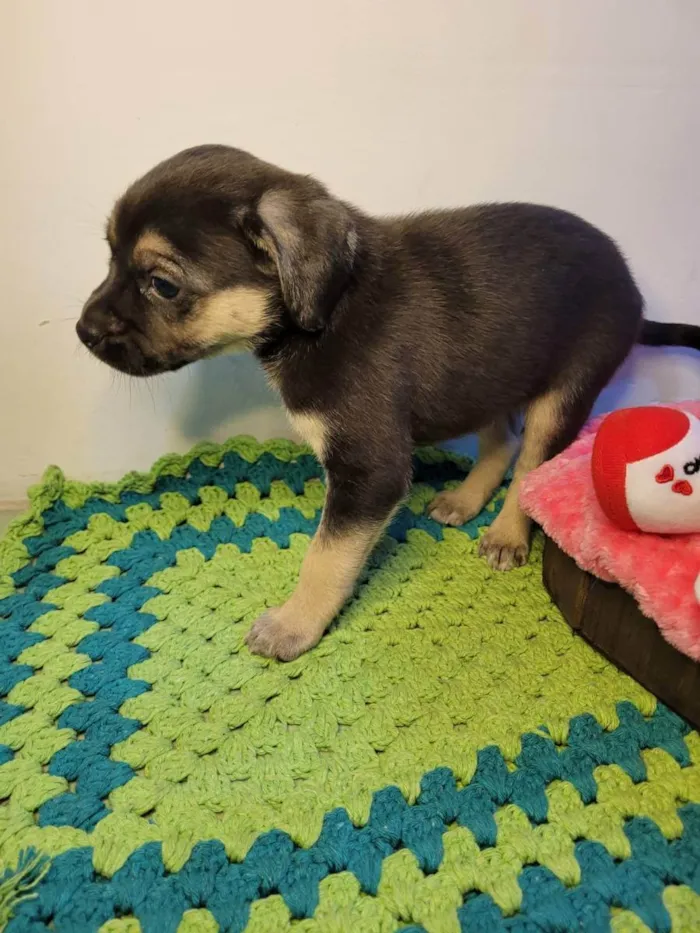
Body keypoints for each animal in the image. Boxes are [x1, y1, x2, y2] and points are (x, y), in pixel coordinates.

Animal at [76, 144, 700, 664]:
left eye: (163, 286)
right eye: (109, 257)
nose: (82, 332)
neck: (324, 313)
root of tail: (632, 285)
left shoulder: (370, 470)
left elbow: (325, 557)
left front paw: (293, 626)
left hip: (565, 389)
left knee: (531, 466)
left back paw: (505, 534)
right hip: (490, 374)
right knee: (501, 443)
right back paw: (466, 500)